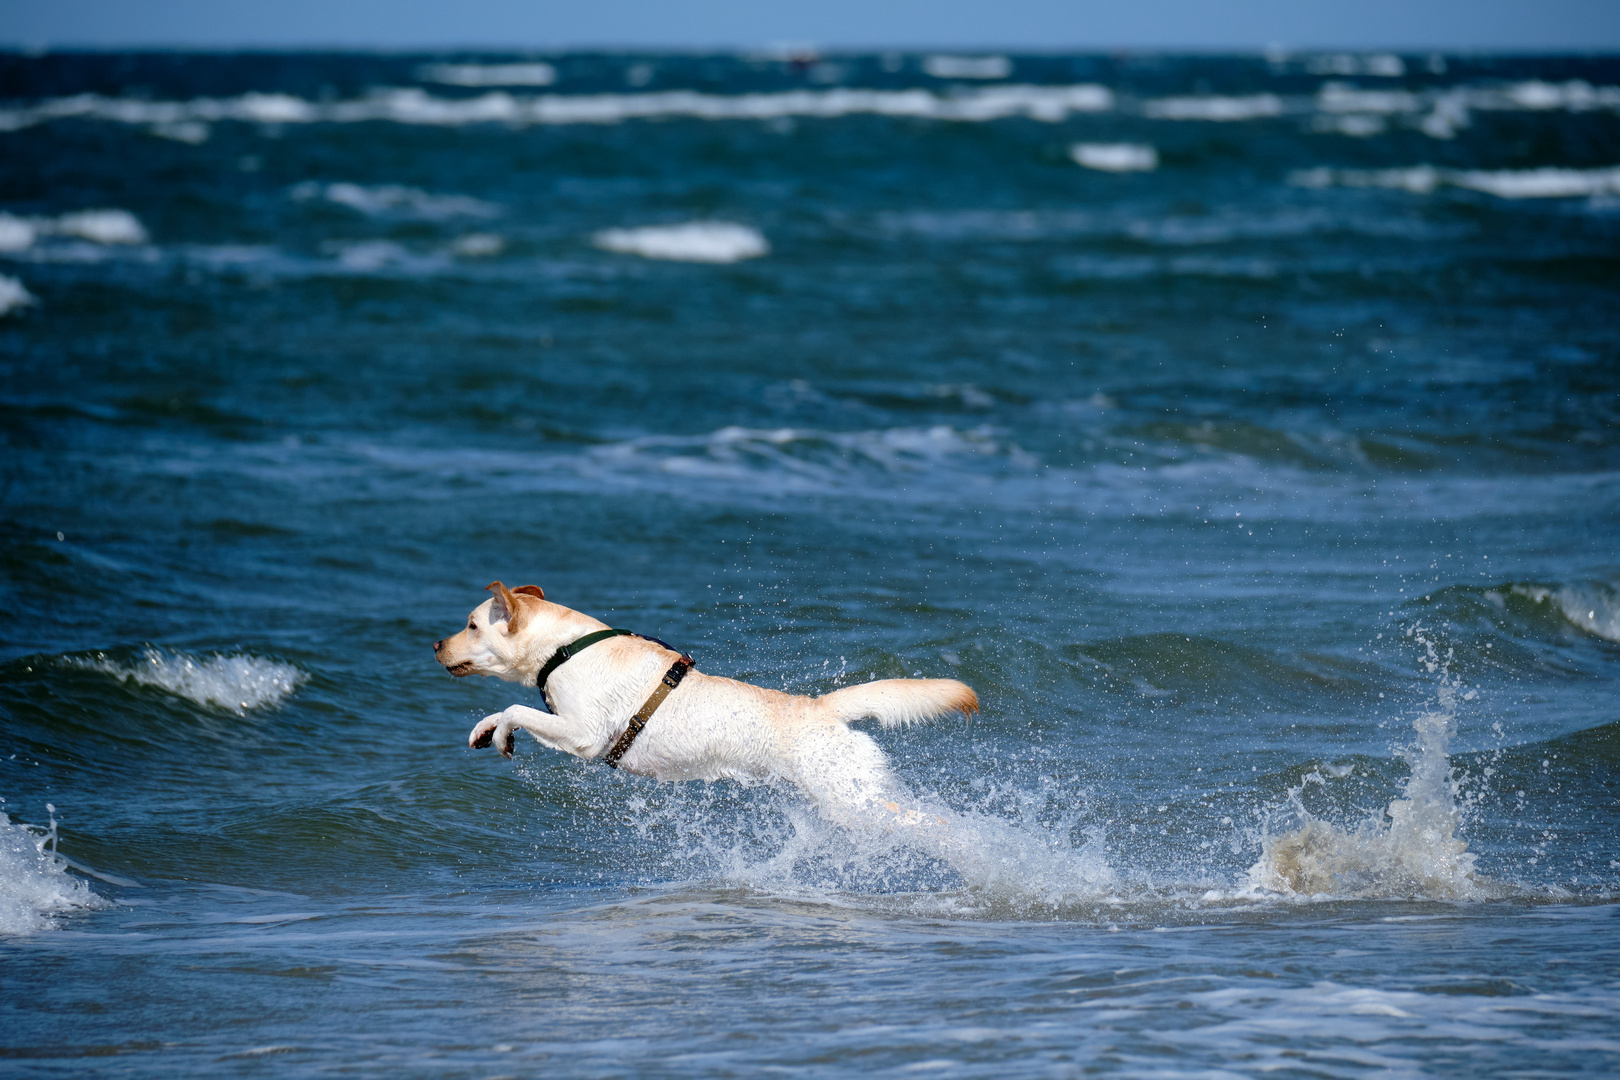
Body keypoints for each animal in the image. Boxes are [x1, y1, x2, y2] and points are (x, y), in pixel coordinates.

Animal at [434, 582, 972, 819]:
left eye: (472, 625)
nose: (436, 644)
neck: (563, 648)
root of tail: (822, 706)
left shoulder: (582, 733)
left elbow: (517, 709)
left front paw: (501, 733)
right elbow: (504, 710)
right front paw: (484, 730)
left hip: (852, 795)